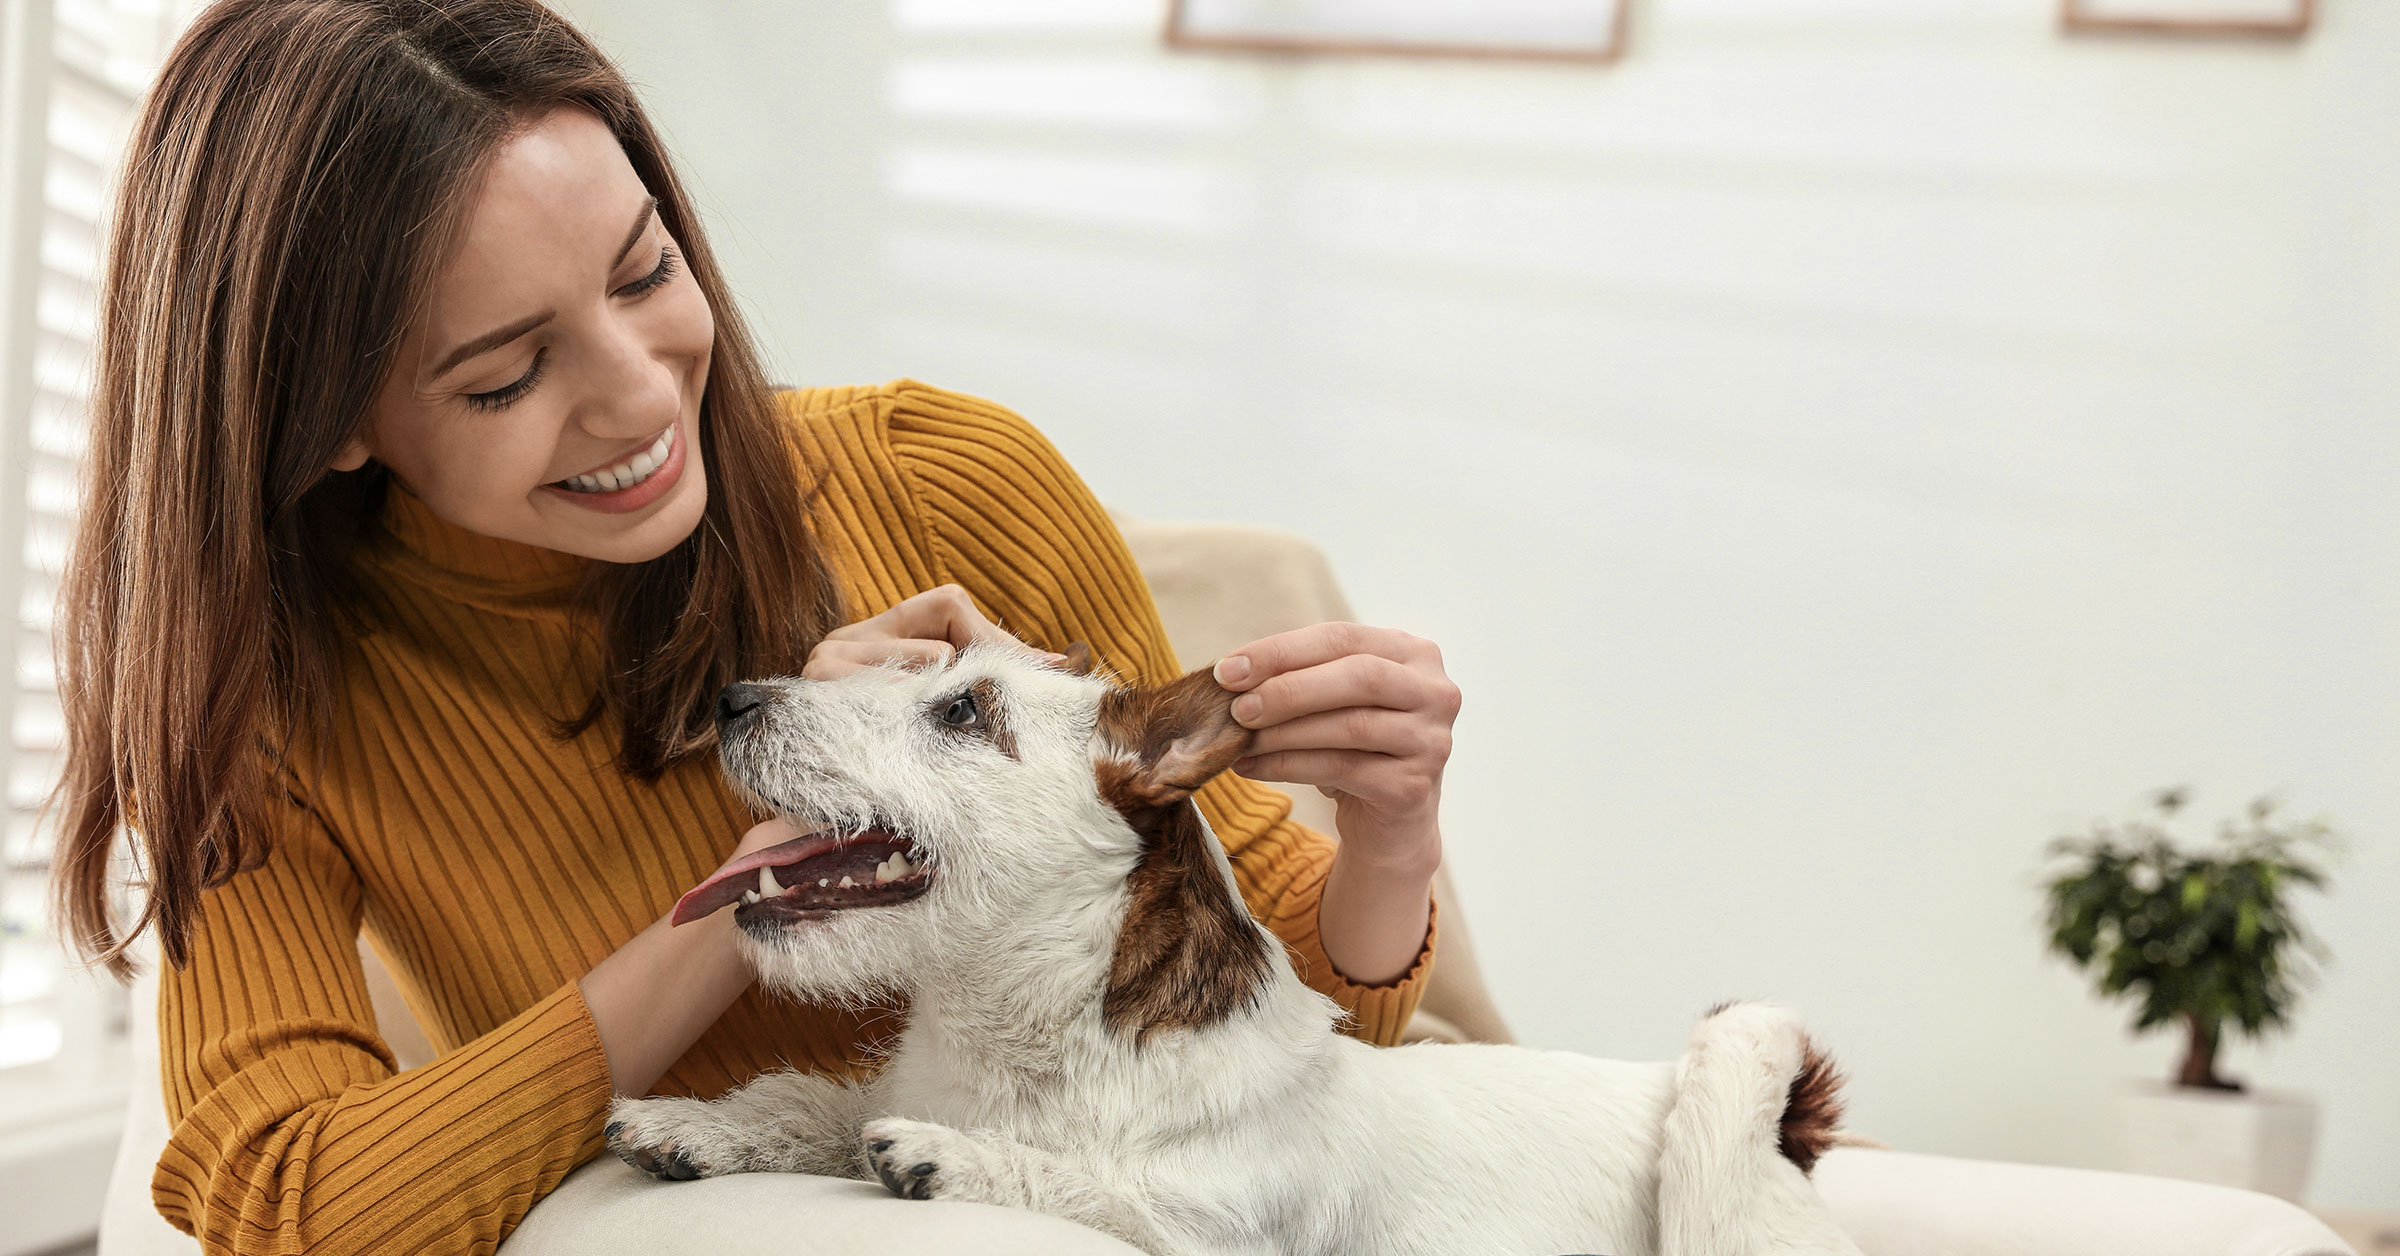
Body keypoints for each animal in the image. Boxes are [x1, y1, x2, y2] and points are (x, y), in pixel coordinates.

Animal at [604, 643, 1872, 1248]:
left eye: (963, 709)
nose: (731, 698)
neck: (1028, 1036)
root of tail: (1789, 1123)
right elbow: (808, 1099)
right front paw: (692, 1120)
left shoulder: (1212, 1229)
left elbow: (1089, 1183)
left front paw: (949, 1157)